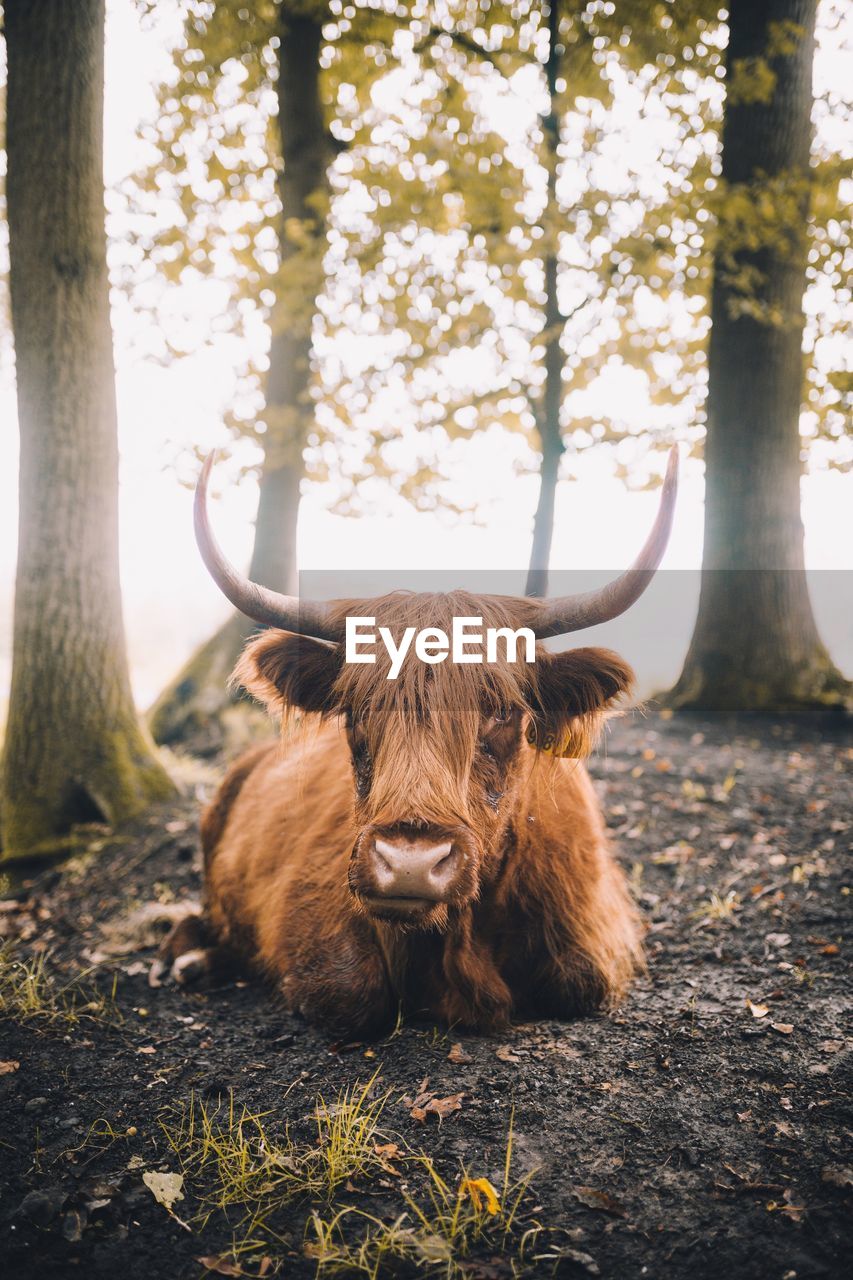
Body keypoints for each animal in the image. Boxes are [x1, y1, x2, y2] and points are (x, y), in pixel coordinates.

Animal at [161, 445, 676, 1034]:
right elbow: (349, 992)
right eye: (356, 709)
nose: (410, 863)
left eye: (502, 710)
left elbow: (577, 982)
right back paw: (189, 960)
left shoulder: (593, 947)